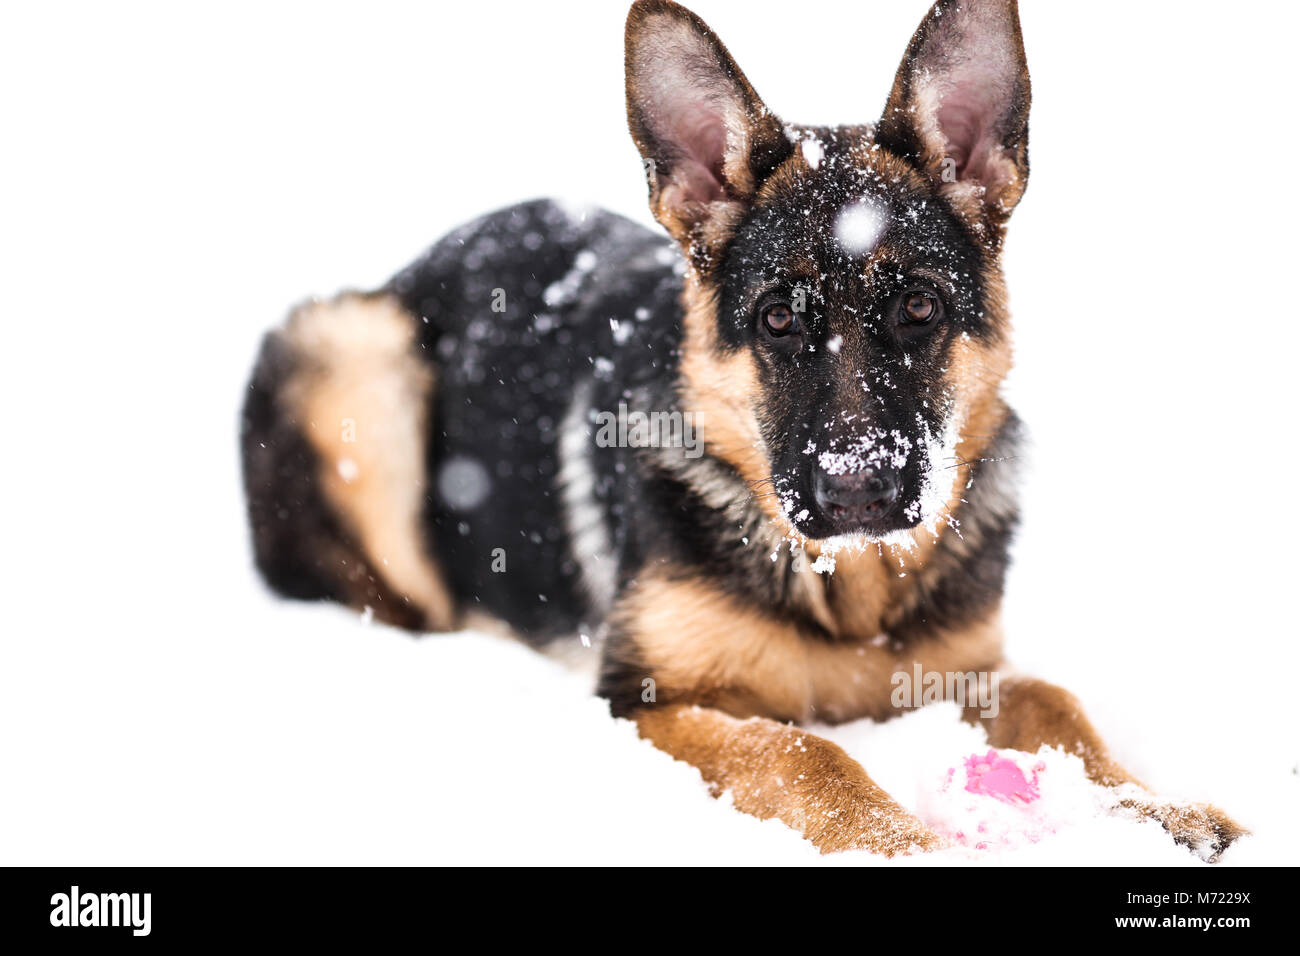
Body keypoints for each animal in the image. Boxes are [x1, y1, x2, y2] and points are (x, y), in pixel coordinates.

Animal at [244, 0, 1248, 858]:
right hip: (360, 359)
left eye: (920, 307)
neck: (849, 592)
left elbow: (1056, 703)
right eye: (775, 320)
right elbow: (803, 751)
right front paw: (902, 843)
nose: (858, 489)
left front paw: (1154, 810)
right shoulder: (649, 703)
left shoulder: (963, 670)